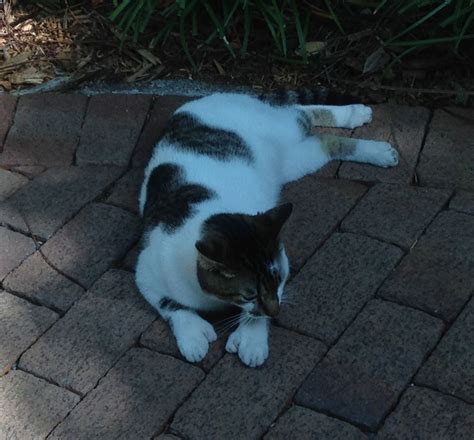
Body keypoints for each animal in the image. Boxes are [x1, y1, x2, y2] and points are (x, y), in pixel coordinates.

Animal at [135, 87, 398, 366]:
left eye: (280, 280)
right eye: (249, 295)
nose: (277, 311)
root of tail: (223, 94)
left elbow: (255, 317)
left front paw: (251, 340)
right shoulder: (146, 272)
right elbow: (171, 305)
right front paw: (192, 334)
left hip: (282, 133)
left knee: (302, 115)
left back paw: (366, 130)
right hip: (294, 161)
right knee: (318, 134)